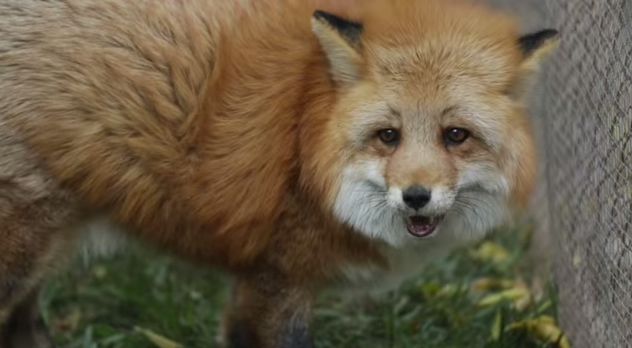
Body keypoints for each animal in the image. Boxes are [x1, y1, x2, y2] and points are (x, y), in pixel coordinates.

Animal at [0, 0, 556, 346]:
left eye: (455, 135)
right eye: (388, 135)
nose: (415, 196)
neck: (304, 136)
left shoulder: (255, 282)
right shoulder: (276, 279)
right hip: (19, 254)